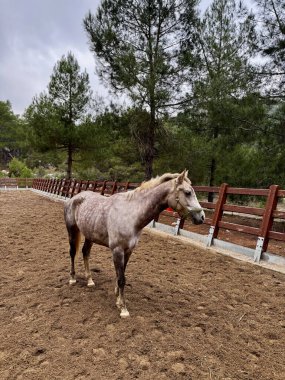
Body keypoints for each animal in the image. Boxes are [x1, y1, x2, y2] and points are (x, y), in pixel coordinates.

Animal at [63, 170, 204, 318]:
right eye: (188, 192)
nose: (201, 217)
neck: (131, 214)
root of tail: (74, 198)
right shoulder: (117, 251)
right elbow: (121, 279)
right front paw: (123, 309)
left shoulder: (128, 250)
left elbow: (121, 275)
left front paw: (118, 299)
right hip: (72, 231)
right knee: (72, 253)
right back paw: (72, 278)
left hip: (90, 236)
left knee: (85, 253)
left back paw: (90, 280)